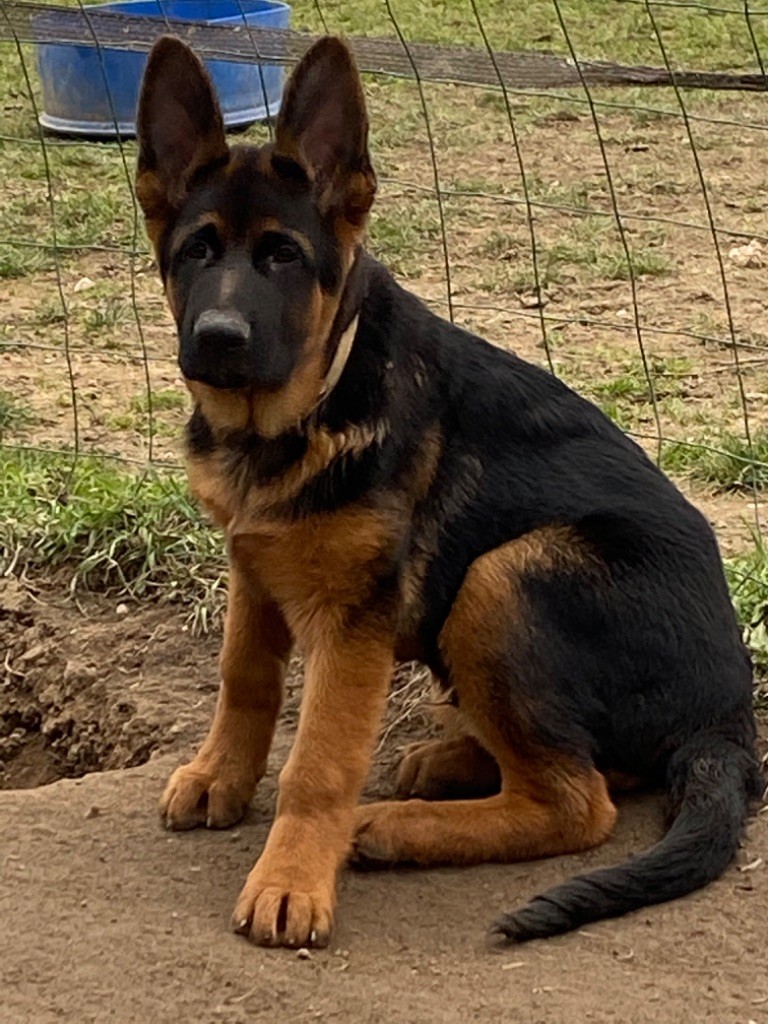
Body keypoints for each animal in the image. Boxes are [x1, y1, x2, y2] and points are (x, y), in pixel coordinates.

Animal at [135, 39, 761, 950]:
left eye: (284, 257)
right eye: (196, 253)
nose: (218, 339)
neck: (303, 411)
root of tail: (728, 720)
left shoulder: (353, 624)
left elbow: (319, 762)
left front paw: (291, 880)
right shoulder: (253, 564)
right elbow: (243, 678)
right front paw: (220, 775)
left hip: (504, 576)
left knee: (579, 804)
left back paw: (396, 827)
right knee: (585, 765)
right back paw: (452, 762)